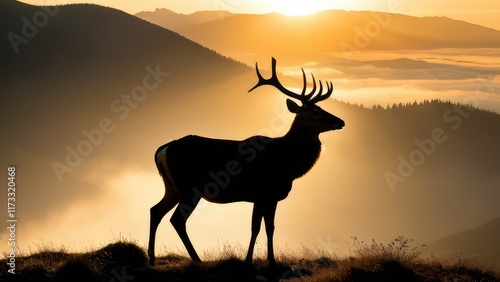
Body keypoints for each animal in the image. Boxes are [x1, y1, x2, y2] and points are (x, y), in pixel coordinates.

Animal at [146, 57, 346, 266]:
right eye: (315, 112)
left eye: (321, 108)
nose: (340, 121)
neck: (288, 164)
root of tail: (162, 150)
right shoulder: (266, 193)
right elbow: (264, 227)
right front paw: (264, 261)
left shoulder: (262, 197)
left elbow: (260, 227)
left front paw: (255, 259)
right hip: (188, 188)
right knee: (177, 219)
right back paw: (196, 258)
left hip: (172, 187)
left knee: (155, 210)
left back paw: (152, 257)